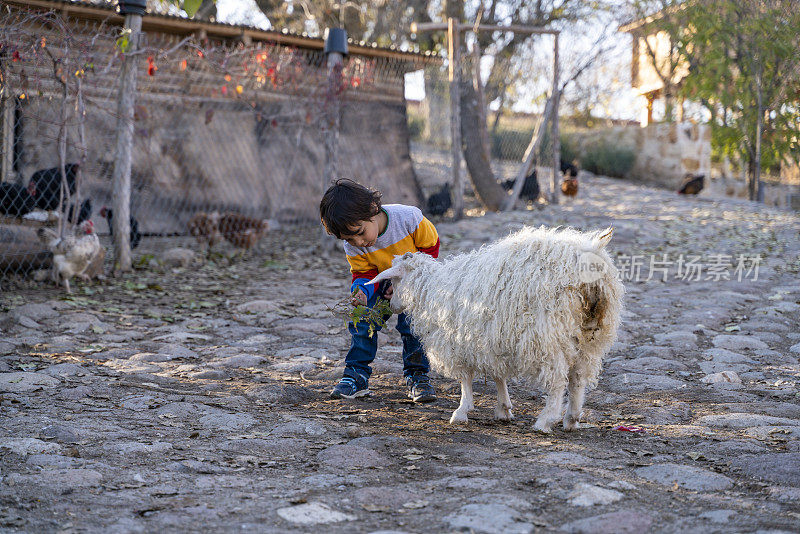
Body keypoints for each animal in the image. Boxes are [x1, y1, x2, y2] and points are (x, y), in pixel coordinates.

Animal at [368, 225, 624, 432]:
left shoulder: (459, 340)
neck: (431, 289)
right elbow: (497, 374)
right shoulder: (491, 337)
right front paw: (504, 408)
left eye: (394, 280)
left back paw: (545, 421)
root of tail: (588, 254)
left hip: (547, 334)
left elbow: (466, 378)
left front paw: (462, 411)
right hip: (591, 335)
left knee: (558, 380)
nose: (392, 305)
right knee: (578, 377)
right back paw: (571, 419)